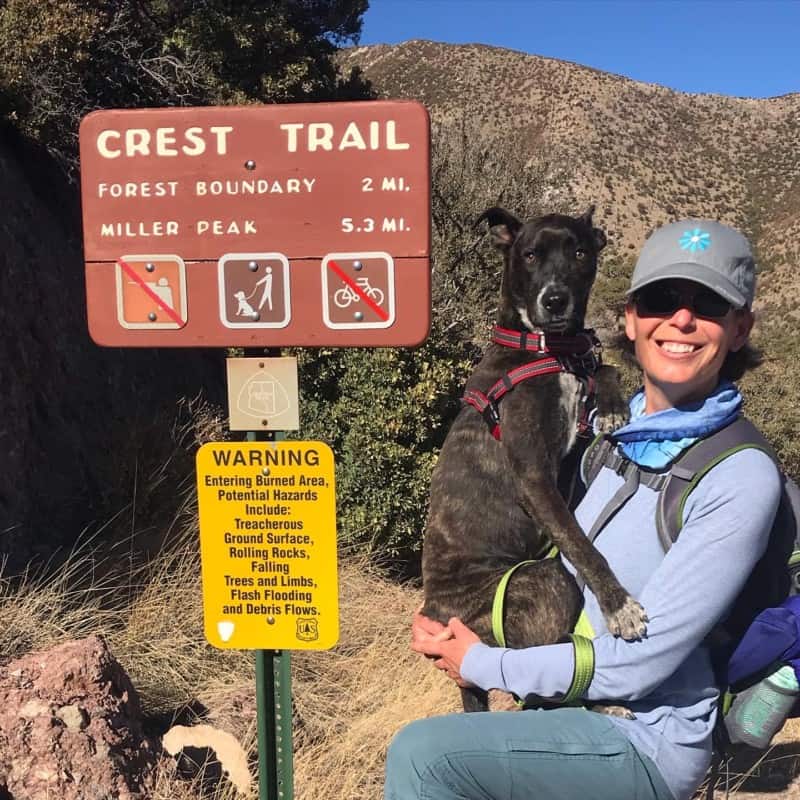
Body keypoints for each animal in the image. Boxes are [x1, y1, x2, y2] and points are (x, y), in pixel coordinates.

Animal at [422, 206, 648, 712]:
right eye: (529, 255)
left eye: (580, 252)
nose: (556, 300)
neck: (545, 349)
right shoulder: (534, 478)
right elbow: (581, 544)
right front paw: (618, 604)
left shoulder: (571, 461)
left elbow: (604, 365)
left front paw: (612, 406)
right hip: (540, 582)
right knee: (540, 666)